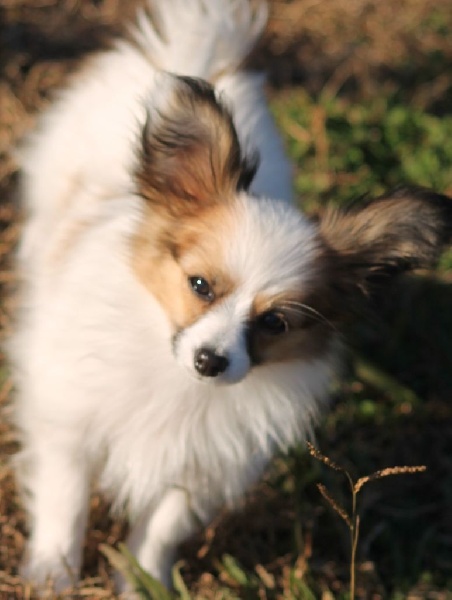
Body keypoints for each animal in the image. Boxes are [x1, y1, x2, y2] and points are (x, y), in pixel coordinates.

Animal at [8, 0, 452, 592]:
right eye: (200, 285)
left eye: (275, 324)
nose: (210, 361)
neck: (175, 380)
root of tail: (198, 56)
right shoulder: (69, 421)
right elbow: (66, 501)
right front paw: (51, 574)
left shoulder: (201, 468)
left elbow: (159, 531)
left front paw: (142, 587)